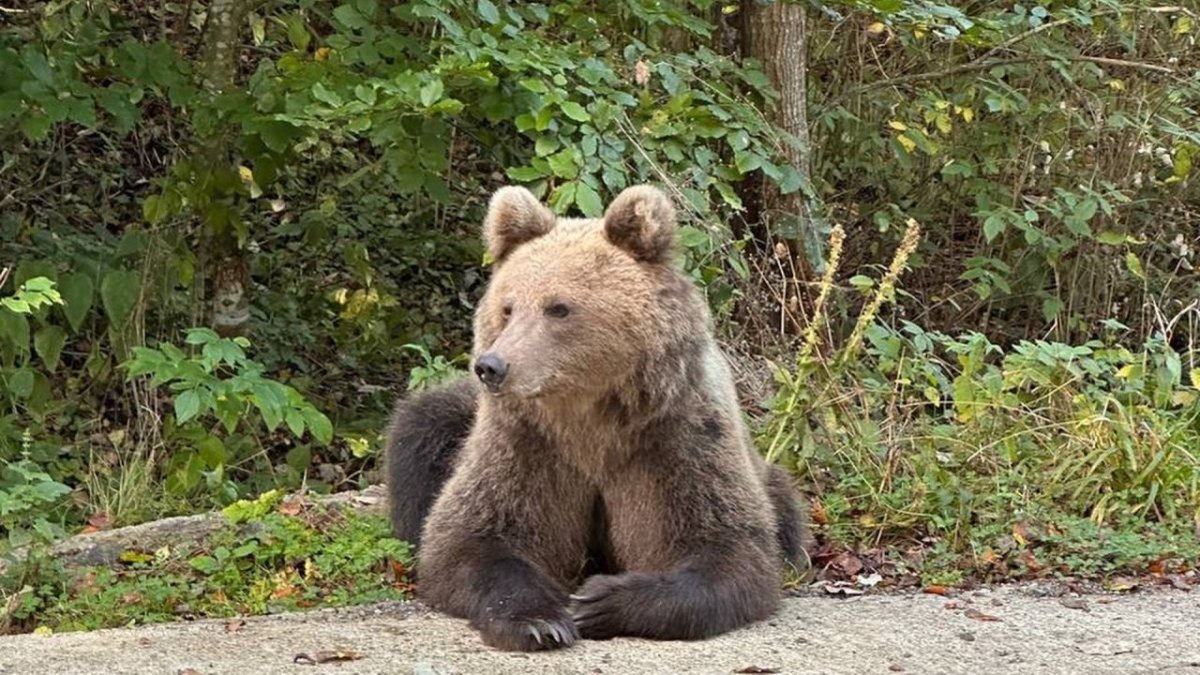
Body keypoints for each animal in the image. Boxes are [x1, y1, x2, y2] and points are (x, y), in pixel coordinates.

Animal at [383, 184, 810, 652]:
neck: (588, 415)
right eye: (508, 308)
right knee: (423, 429)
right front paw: (540, 620)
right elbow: (472, 537)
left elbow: (727, 548)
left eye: (558, 308)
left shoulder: (675, 436)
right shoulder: (525, 442)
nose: (492, 366)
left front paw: (599, 601)